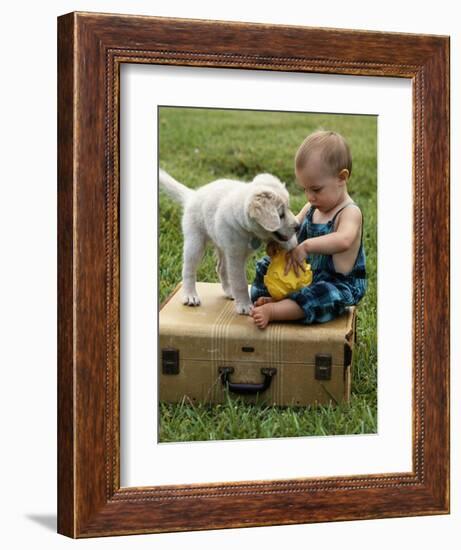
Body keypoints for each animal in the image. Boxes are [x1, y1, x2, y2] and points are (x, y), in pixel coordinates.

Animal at [160, 169, 300, 314]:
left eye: (288, 208)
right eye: (280, 215)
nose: (298, 226)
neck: (249, 231)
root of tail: (193, 195)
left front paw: (292, 245)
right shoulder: (235, 255)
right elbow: (240, 282)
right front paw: (245, 306)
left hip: (221, 245)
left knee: (221, 268)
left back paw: (229, 292)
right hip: (195, 242)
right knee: (189, 269)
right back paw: (190, 295)